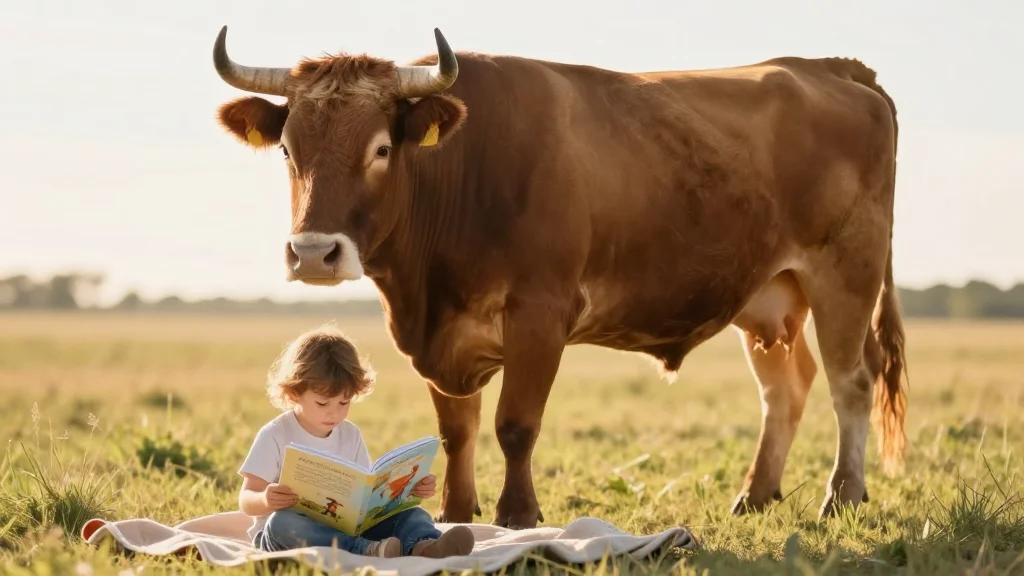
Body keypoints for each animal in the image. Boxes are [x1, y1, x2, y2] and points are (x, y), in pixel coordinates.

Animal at [212, 27, 907, 528]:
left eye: (381, 148)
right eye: (287, 149)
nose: (313, 253)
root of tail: (828, 66)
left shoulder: (541, 315)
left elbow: (515, 425)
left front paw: (518, 516)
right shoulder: (441, 338)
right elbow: (457, 431)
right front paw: (454, 514)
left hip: (845, 272)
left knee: (851, 381)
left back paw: (842, 495)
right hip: (767, 297)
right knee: (785, 388)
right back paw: (756, 495)